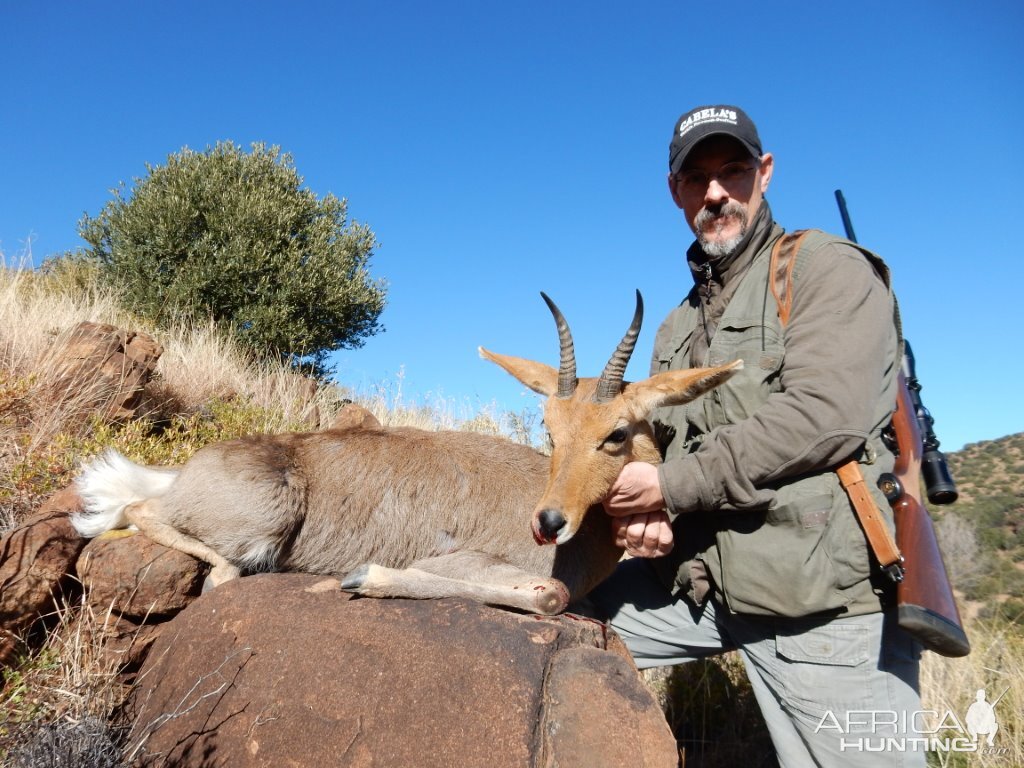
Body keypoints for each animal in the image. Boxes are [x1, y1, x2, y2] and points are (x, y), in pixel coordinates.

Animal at [74, 290, 745, 618]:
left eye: (615, 433)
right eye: (549, 428)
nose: (549, 522)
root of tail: (187, 471)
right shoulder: (467, 563)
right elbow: (548, 596)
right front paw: (365, 575)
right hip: (260, 524)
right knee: (144, 516)